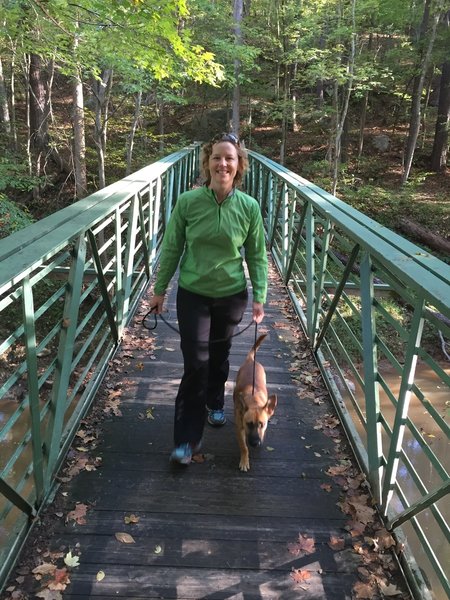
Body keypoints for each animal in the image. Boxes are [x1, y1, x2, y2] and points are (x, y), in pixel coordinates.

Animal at [234, 330, 276, 472]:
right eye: (249, 424)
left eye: (262, 424)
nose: (255, 443)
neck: (254, 401)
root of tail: (251, 360)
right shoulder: (240, 428)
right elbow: (243, 447)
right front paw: (244, 460)